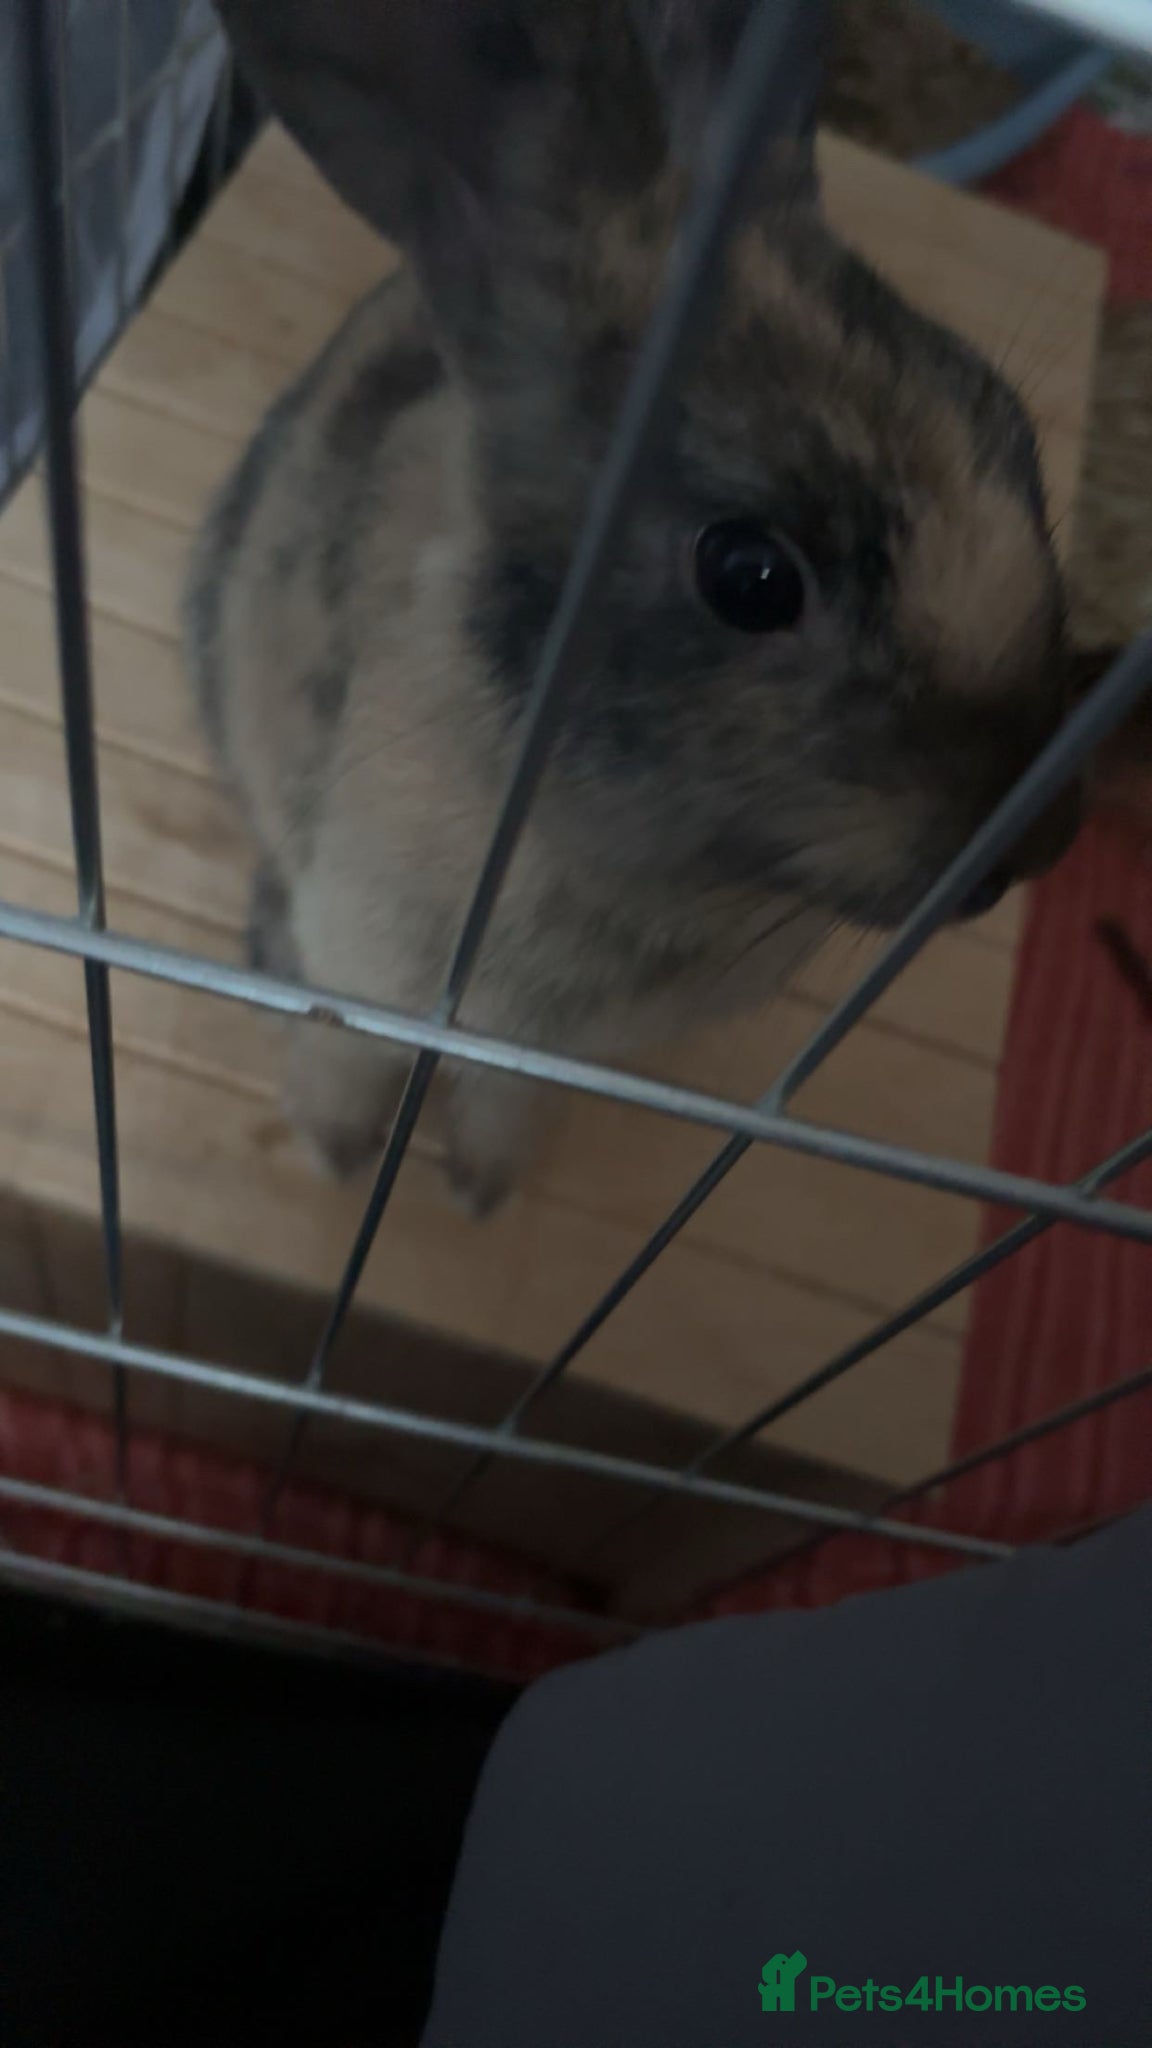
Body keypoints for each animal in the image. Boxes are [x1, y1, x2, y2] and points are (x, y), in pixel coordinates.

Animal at [186, 0, 1079, 1217]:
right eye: (750, 576)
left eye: (1011, 429)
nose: (1040, 842)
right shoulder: (365, 965)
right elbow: (345, 1055)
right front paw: (333, 1155)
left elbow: (506, 1099)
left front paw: (481, 1189)